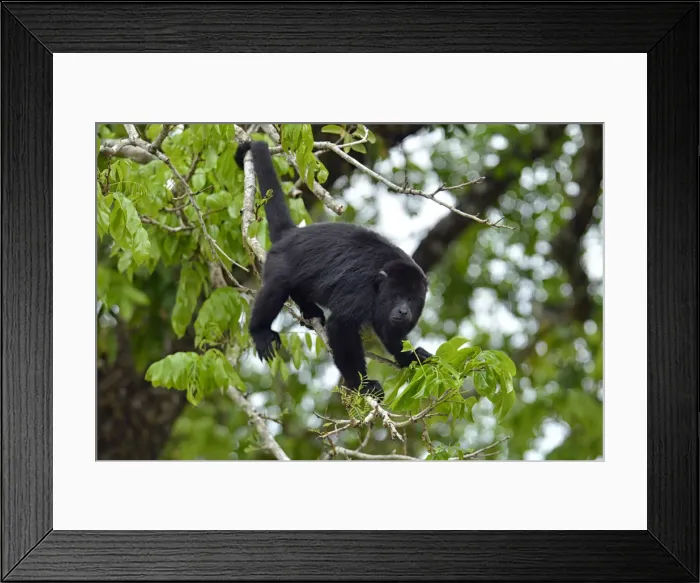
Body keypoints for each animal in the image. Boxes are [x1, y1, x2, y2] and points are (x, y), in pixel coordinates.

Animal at [235, 140, 432, 401]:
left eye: (411, 300)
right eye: (398, 296)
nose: (403, 311)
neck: (380, 283)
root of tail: (291, 234)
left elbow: (389, 332)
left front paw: (411, 357)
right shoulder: (361, 290)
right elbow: (341, 327)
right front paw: (363, 385)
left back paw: (309, 310)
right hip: (278, 263)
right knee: (275, 289)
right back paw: (260, 331)